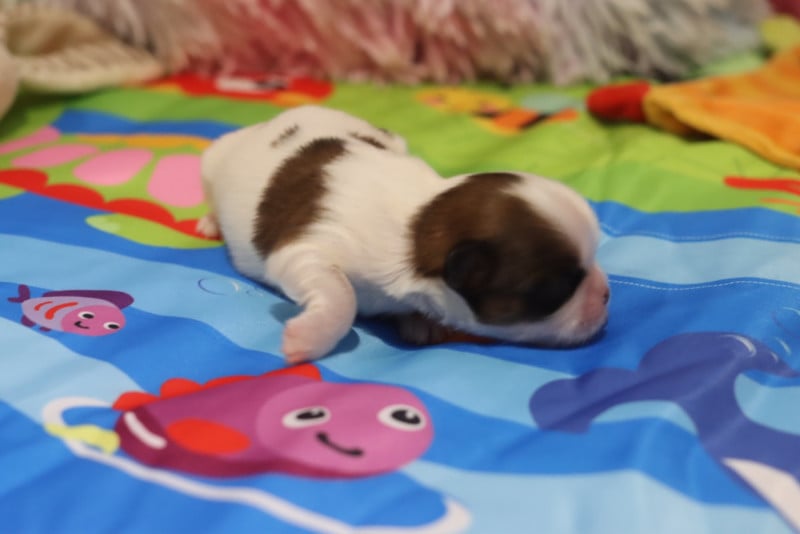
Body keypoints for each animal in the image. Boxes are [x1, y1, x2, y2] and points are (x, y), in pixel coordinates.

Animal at [198, 105, 610, 363]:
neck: (417, 228)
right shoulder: (307, 250)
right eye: (556, 290)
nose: (606, 295)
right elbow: (342, 296)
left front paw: (419, 322)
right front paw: (308, 337)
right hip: (214, 159)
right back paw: (210, 222)